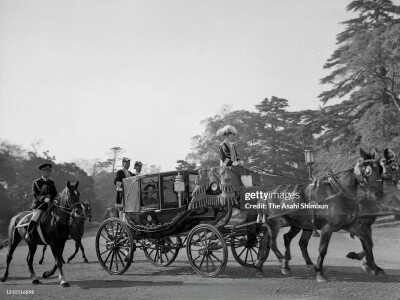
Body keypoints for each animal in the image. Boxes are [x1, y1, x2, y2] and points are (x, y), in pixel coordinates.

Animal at [256, 149, 384, 282]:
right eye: (368, 170)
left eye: (380, 169)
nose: (378, 193)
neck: (338, 193)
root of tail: (265, 193)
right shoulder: (327, 227)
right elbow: (322, 250)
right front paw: (319, 272)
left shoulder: (350, 225)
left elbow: (367, 243)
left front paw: (373, 266)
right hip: (275, 223)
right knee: (272, 243)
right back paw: (283, 263)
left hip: (285, 223)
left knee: (268, 241)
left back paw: (260, 266)